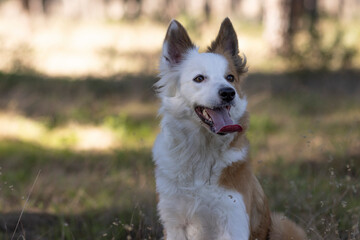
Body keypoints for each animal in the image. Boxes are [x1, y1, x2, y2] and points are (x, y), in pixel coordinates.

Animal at [152, 17, 306, 240]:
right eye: (199, 78)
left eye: (230, 78)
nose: (228, 93)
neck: (202, 154)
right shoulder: (174, 223)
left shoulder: (233, 219)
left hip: (282, 224)